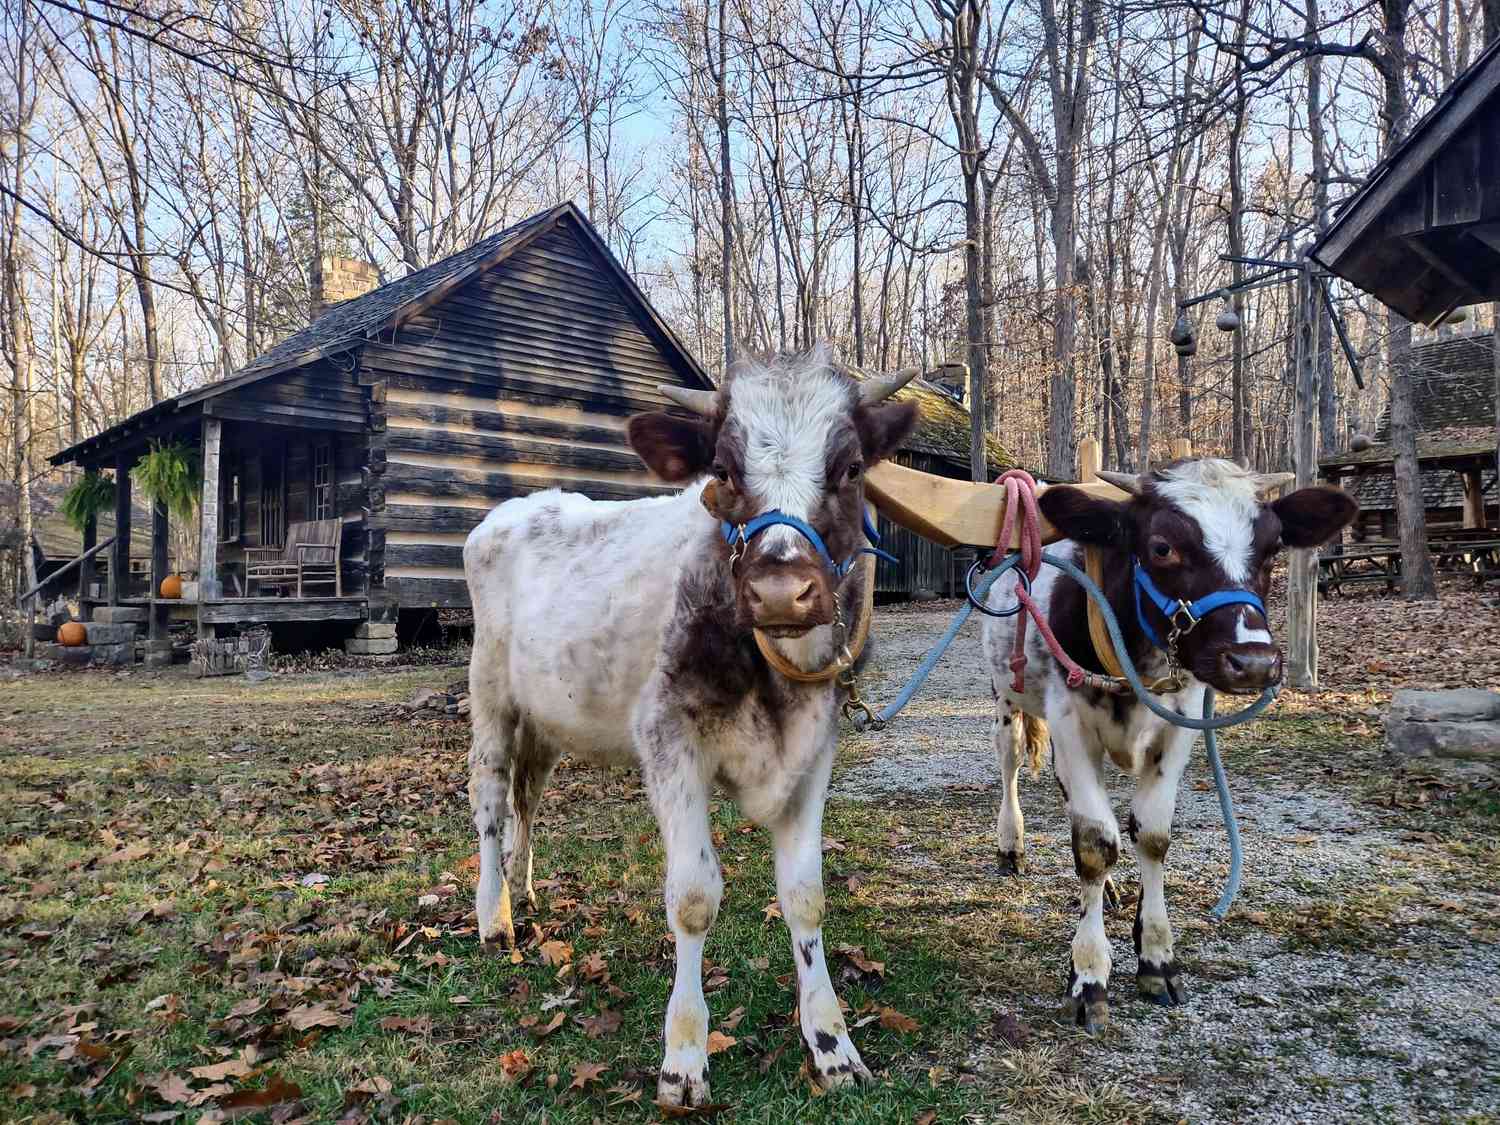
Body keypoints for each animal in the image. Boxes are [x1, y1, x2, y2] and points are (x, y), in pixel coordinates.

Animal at [462, 352, 918, 1110]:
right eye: (724, 471)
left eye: (851, 467)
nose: (780, 590)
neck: (774, 676)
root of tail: (519, 506)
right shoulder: (670, 744)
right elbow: (695, 897)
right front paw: (683, 1059)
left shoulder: (814, 751)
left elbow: (806, 897)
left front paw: (831, 1044)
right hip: (490, 692)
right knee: (493, 798)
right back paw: (493, 915)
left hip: (548, 714)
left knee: (530, 795)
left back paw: (523, 890)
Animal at [984, 459, 1362, 1032]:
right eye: (1162, 547)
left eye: (1272, 547)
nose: (1253, 662)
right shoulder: (1070, 723)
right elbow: (1095, 844)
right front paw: (1089, 975)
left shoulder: (1180, 723)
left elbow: (1152, 836)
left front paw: (1156, 956)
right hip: (1007, 701)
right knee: (1010, 768)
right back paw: (1012, 845)